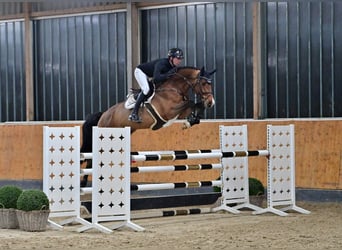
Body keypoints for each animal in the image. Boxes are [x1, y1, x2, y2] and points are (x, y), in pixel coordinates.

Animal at [79, 65, 216, 187]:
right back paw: (84, 182)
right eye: (204, 83)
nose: (211, 102)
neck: (174, 89)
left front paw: (191, 121)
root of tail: (103, 115)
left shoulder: (180, 112)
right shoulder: (169, 111)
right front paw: (189, 120)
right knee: (92, 158)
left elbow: (195, 106)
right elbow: (191, 103)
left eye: (210, 84)